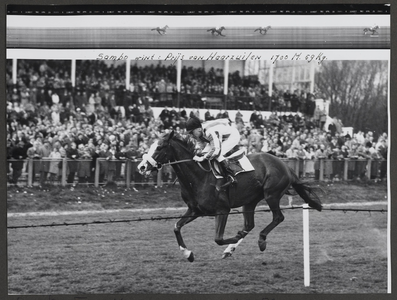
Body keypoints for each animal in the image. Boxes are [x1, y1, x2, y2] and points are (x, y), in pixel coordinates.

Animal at [138, 131, 320, 260]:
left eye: (159, 147)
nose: (141, 167)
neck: (198, 177)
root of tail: (286, 165)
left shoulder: (222, 209)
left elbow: (218, 238)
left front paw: (234, 237)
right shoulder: (195, 210)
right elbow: (176, 227)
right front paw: (188, 254)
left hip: (271, 194)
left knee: (278, 217)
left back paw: (260, 240)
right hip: (250, 201)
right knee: (249, 225)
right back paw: (230, 249)